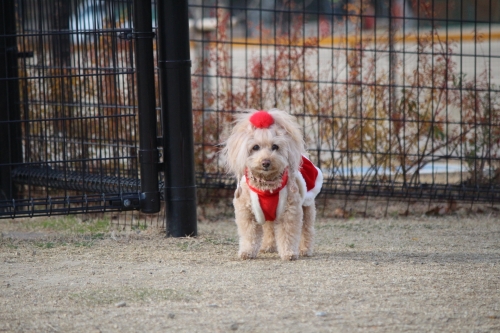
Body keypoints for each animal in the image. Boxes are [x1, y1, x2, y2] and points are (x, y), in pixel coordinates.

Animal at [223, 109, 324, 260]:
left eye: (275, 147)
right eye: (255, 147)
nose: (266, 162)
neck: (267, 187)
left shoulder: (289, 212)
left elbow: (287, 234)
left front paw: (288, 253)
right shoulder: (246, 213)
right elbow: (249, 234)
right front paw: (247, 252)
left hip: (307, 205)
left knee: (307, 228)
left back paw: (305, 249)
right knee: (269, 229)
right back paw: (268, 247)